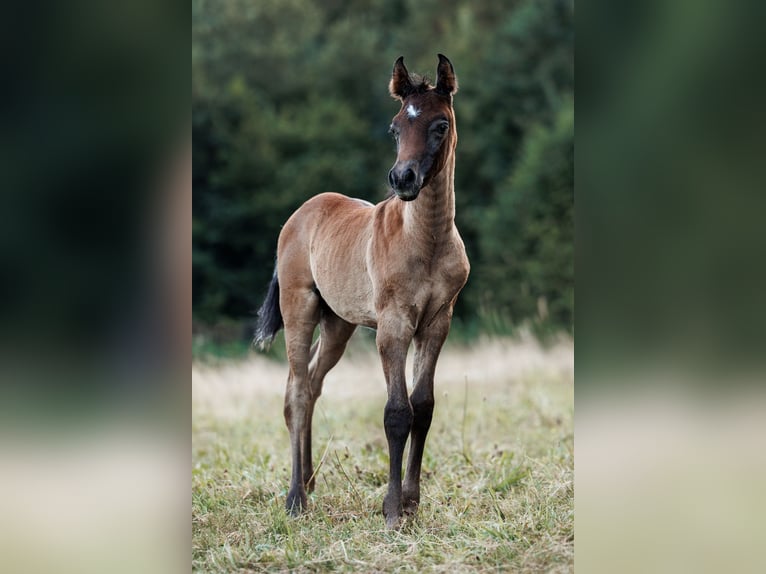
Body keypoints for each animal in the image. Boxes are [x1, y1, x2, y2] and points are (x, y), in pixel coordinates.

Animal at [256, 54, 468, 532]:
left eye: (440, 125)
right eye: (395, 127)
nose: (403, 178)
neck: (426, 241)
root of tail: (299, 215)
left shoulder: (437, 322)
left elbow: (423, 406)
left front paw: (412, 503)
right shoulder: (392, 325)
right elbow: (397, 413)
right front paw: (391, 511)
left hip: (338, 324)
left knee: (311, 382)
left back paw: (309, 480)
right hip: (299, 308)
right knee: (297, 391)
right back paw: (295, 498)